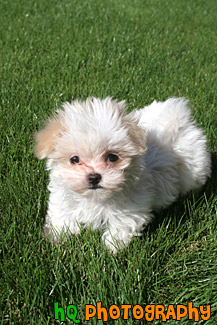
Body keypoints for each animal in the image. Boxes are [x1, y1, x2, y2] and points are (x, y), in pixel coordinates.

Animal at [34, 97, 211, 252]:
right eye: (74, 159)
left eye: (112, 157)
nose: (94, 177)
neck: (95, 198)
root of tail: (180, 118)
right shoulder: (64, 199)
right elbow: (62, 215)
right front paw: (57, 236)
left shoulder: (131, 207)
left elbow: (121, 224)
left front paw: (112, 248)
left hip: (195, 170)